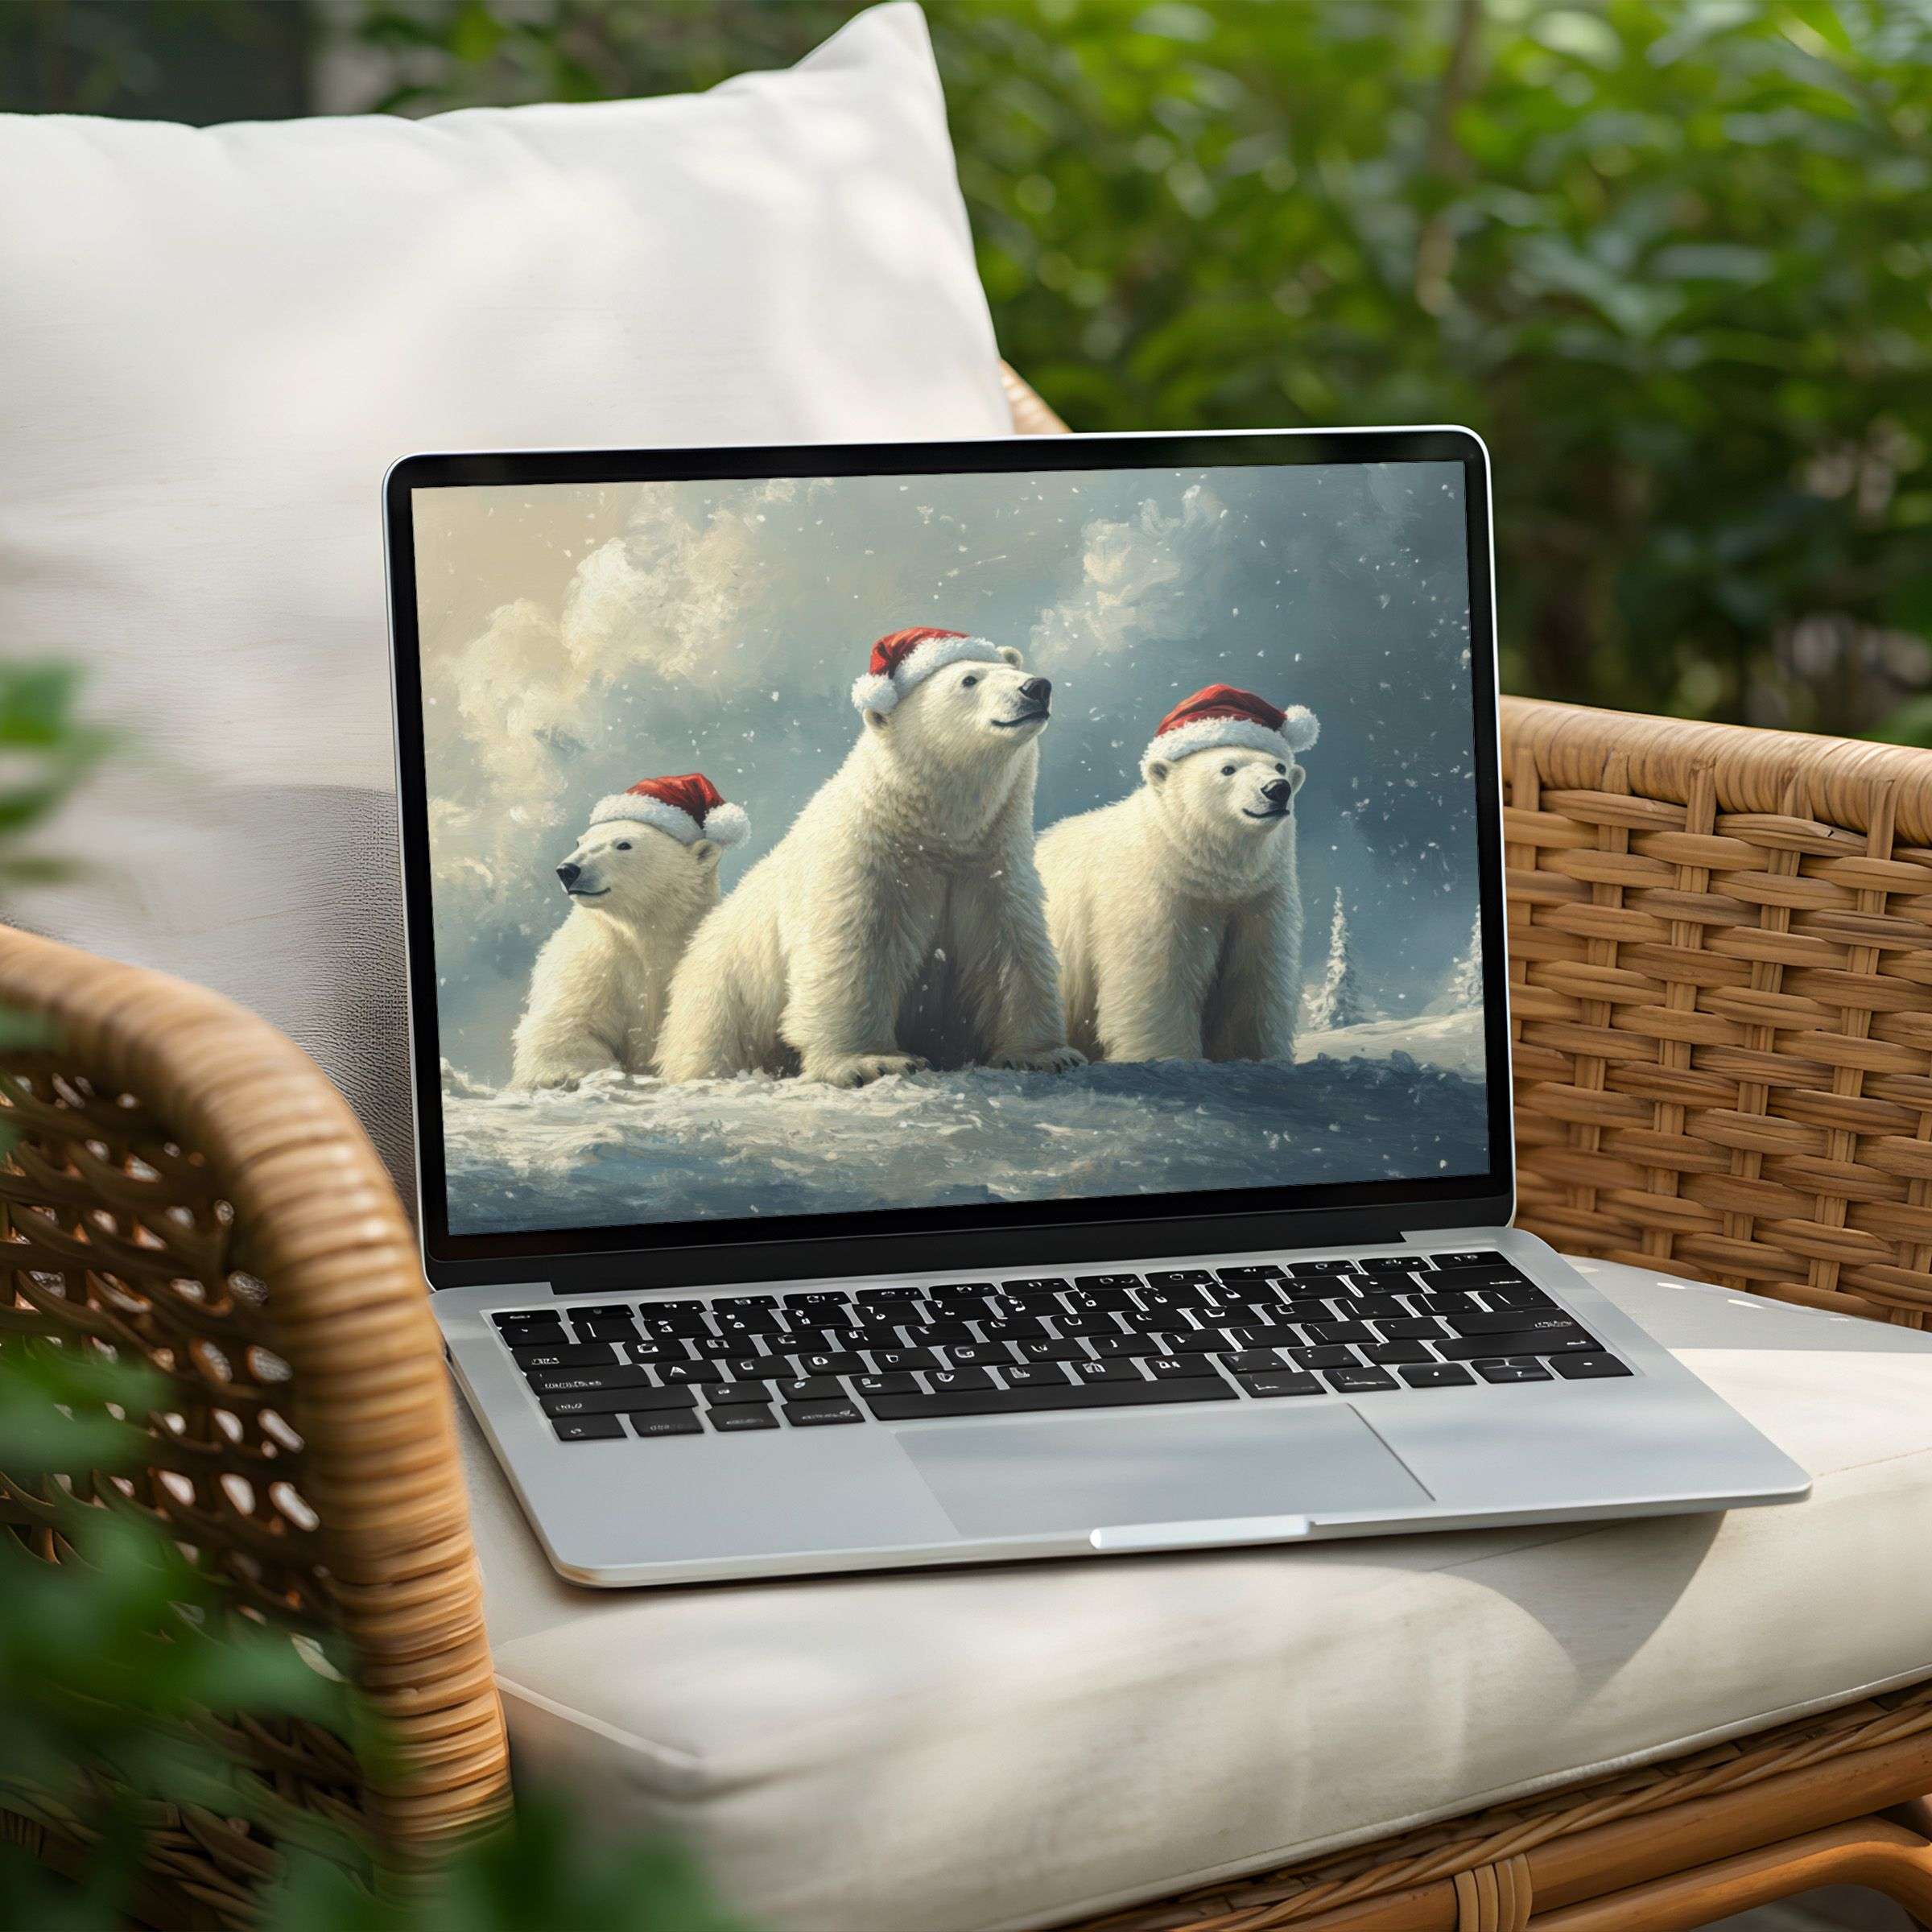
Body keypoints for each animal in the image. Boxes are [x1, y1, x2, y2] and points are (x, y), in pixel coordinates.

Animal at [508, 773, 748, 1091]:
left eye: (624, 845)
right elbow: (567, 1024)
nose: (568, 870)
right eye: (579, 840)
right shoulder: (593, 963)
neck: (646, 931)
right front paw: (574, 1075)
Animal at [655, 627, 1084, 1088]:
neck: (932, 828)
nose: (1036, 687)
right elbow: (854, 949)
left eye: (1014, 669)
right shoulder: (864, 862)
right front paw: (870, 1061)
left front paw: (1048, 1055)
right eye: (969, 680)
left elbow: (1012, 950)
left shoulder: (992, 865)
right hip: (725, 991)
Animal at [1037, 683, 1318, 1064]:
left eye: (1281, 766)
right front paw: (1166, 1058)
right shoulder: (1157, 894)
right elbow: (1158, 976)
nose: (1277, 789)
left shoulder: (1259, 899)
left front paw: (1254, 1056)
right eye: (1228, 768)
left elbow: (1256, 977)